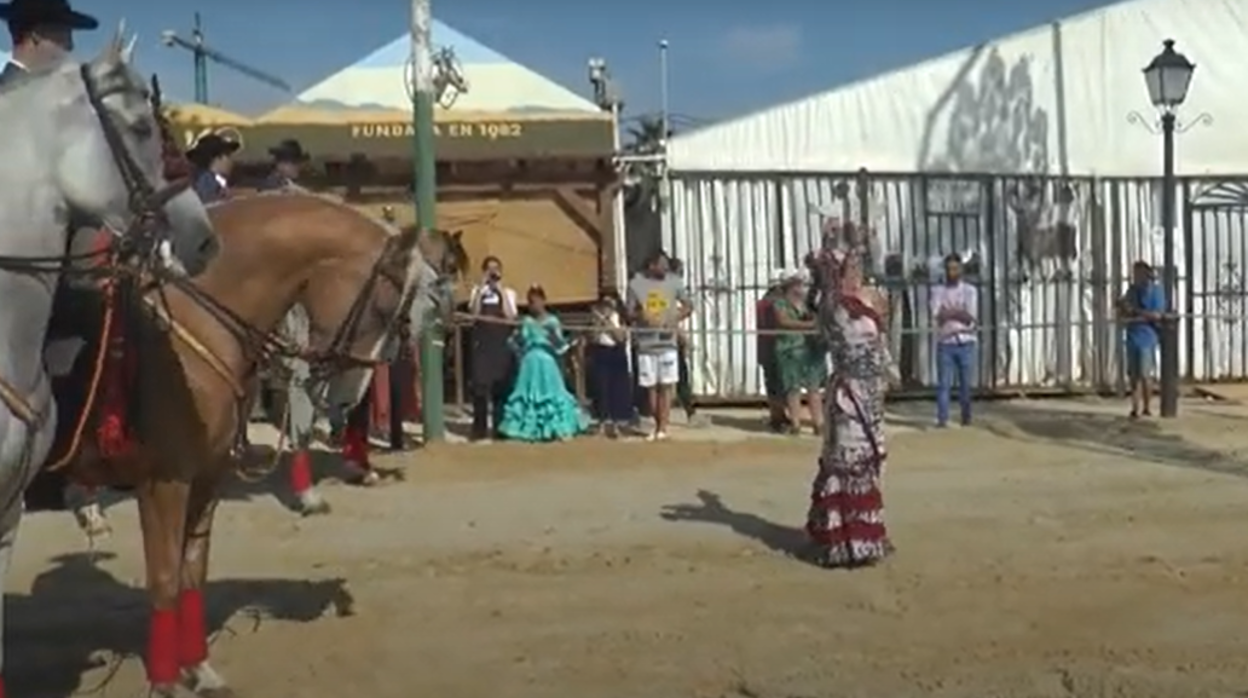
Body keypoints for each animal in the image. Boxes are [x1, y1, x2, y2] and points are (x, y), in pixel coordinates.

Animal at [53, 192, 454, 698]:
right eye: (386, 306)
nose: (348, 397)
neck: (198, 321)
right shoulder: (164, 482)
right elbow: (164, 578)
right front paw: (165, 681)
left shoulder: (208, 476)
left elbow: (192, 569)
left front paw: (198, 669)